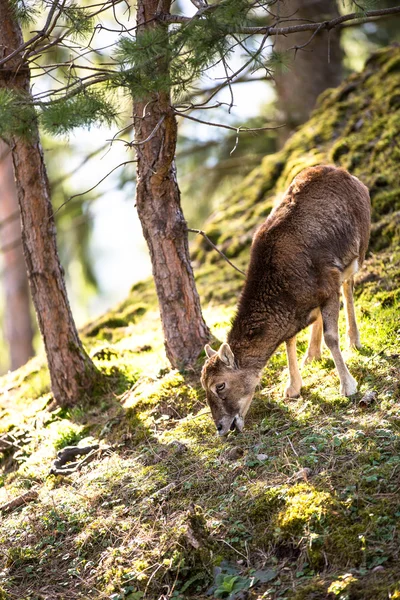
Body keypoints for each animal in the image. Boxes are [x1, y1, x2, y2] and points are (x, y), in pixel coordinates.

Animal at [202, 164, 370, 436]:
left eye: (220, 385)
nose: (221, 427)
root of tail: (346, 173)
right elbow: (289, 341)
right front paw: (293, 388)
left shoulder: (329, 282)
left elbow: (331, 337)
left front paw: (348, 386)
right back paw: (312, 355)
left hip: (357, 253)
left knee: (348, 287)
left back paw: (353, 341)